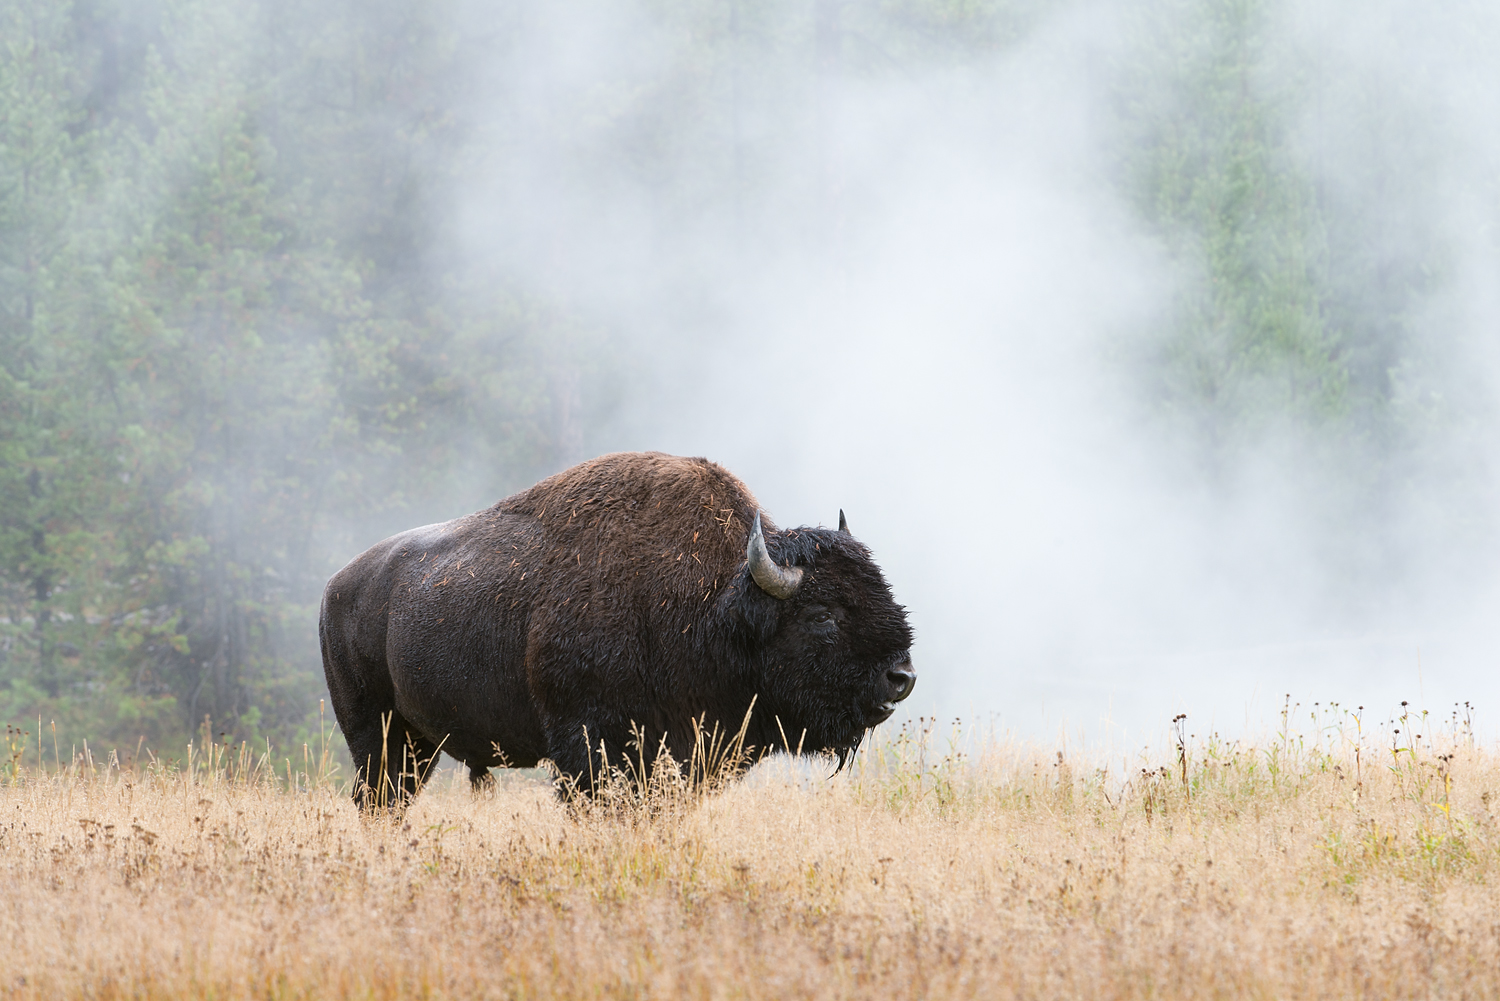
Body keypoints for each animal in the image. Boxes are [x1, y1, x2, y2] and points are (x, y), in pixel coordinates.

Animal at [319, 453, 912, 804]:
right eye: (824, 615)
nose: (901, 677)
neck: (715, 604)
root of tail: (335, 586)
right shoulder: (589, 749)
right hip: (376, 738)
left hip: (416, 744)